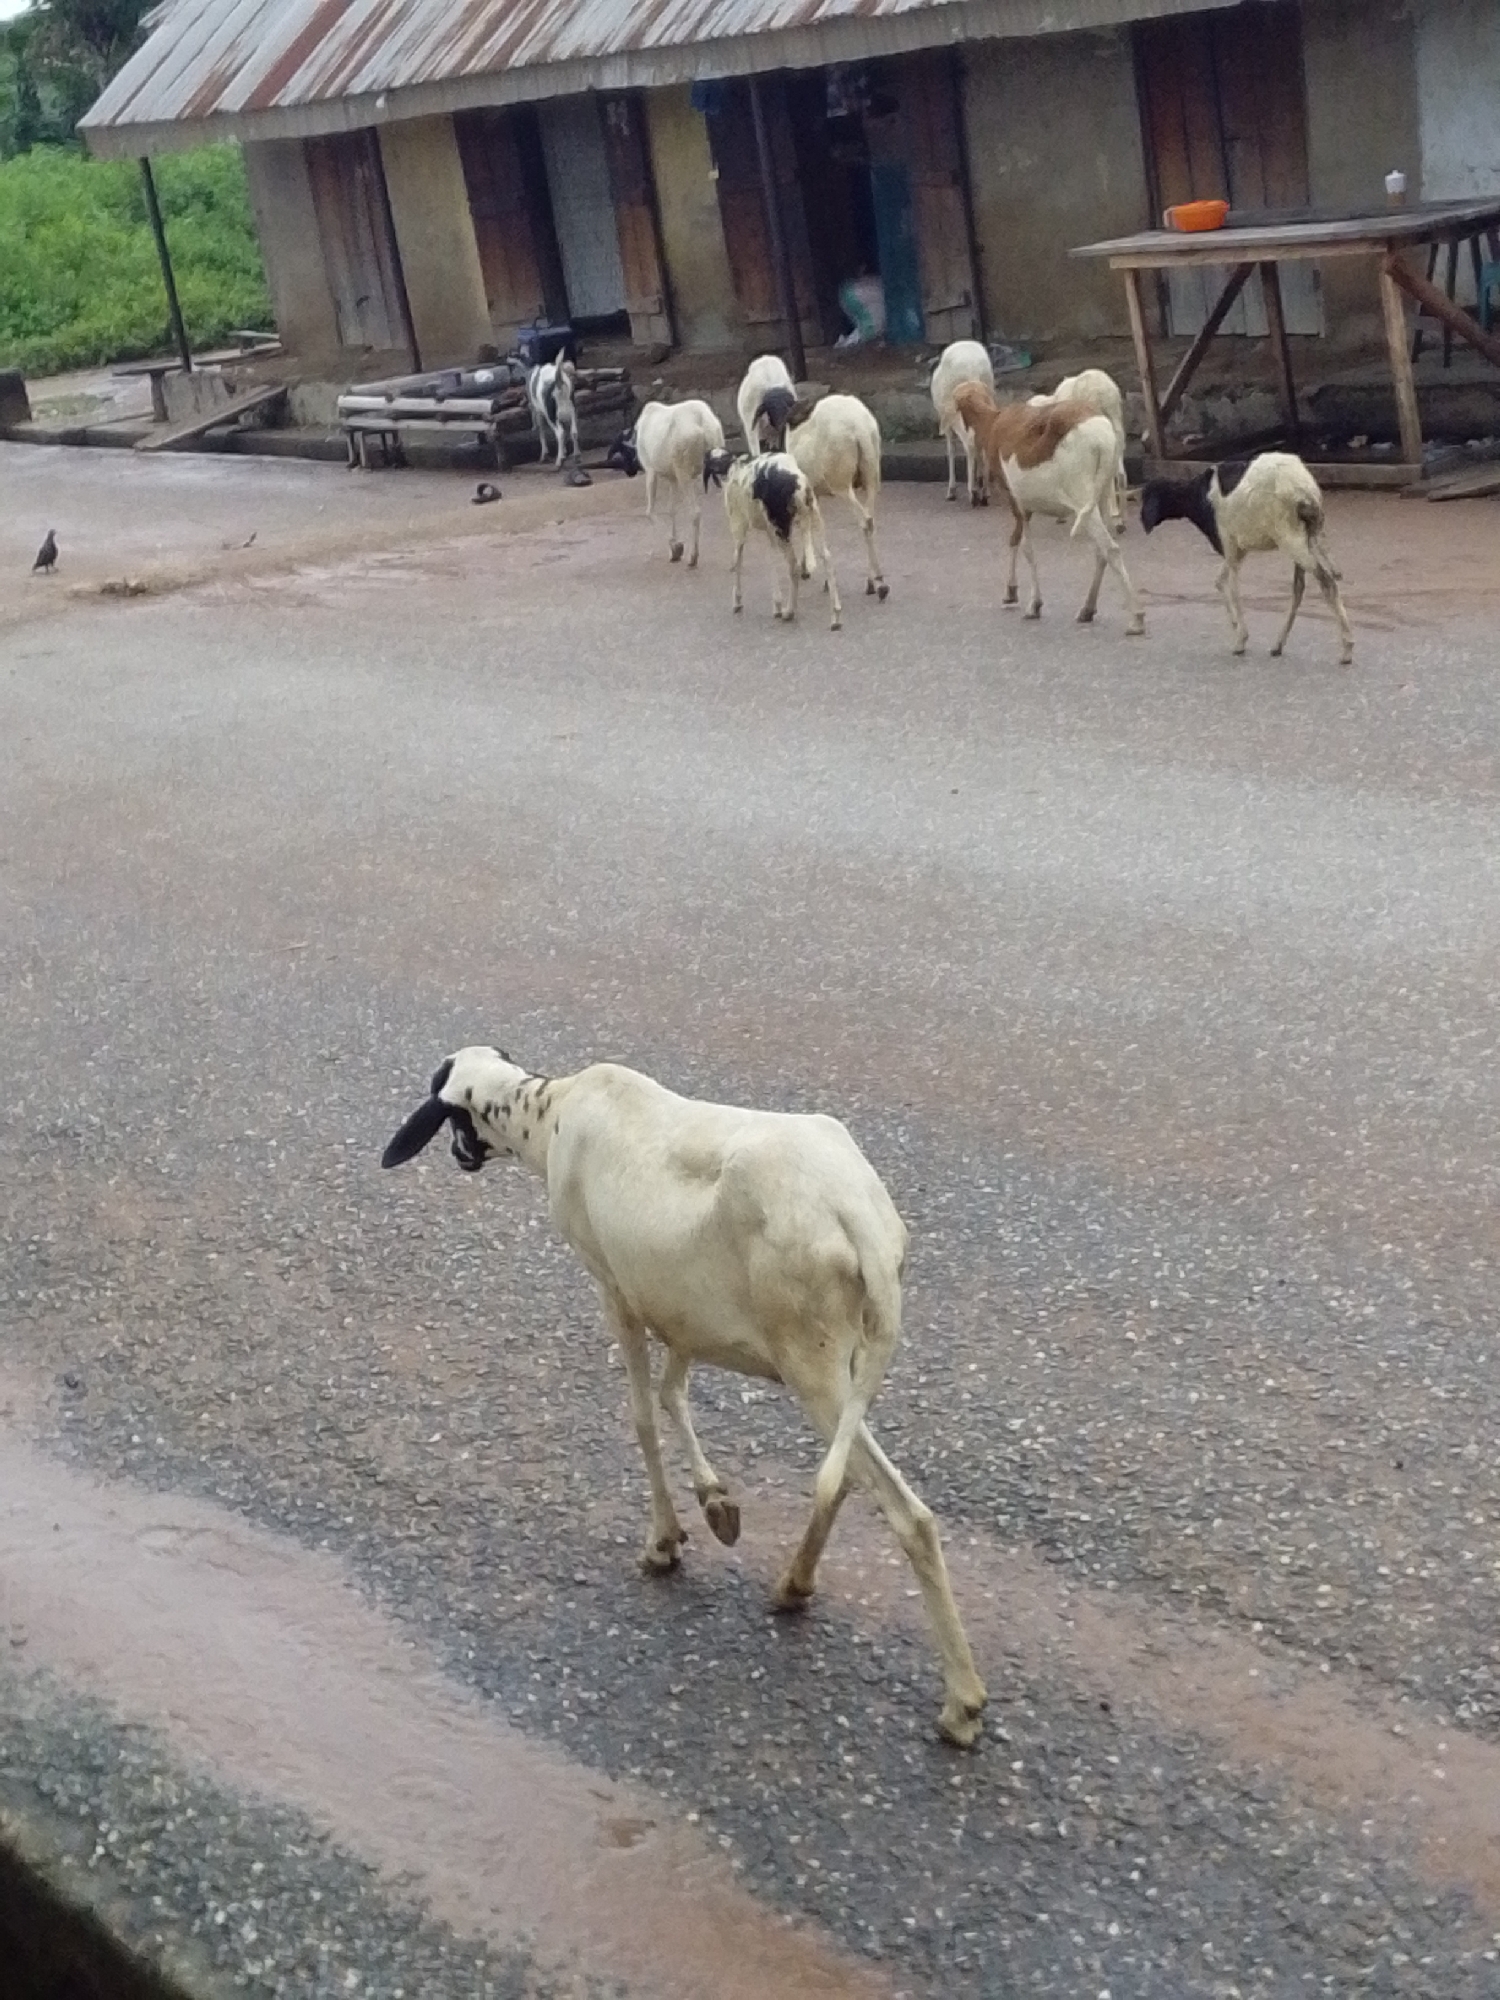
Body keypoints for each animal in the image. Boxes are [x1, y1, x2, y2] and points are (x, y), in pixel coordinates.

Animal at [382, 1046, 989, 1748]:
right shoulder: (680, 1309)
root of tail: (863, 1223)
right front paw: (716, 1503)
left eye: (449, 1112)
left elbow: (644, 1414)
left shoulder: (616, 1289)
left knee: (901, 1511)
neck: (548, 1111)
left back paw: (962, 1705)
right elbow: (675, 1393)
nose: (463, 1158)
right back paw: (794, 1585)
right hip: (840, 1358)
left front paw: (664, 1542)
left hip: (809, 1356)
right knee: (842, 1479)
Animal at [605, 400, 727, 567]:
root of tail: (703, 422)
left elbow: (649, 511)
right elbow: (671, 510)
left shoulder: (651, 471)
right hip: (716, 468)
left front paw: (676, 547)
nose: (630, 472)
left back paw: (693, 557)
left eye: (623, 451)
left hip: (684, 474)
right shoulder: (672, 478)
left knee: (695, 511)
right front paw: (673, 552)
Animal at [704, 447, 843, 630]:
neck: (730, 465)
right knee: (827, 558)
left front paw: (737, 600)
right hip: (812, 519)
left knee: (794, 567)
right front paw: (776, 604)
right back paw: (835, 615)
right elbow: (770, 560)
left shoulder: (739, 526)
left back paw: (789, 612)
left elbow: (738, 561)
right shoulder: (769, 531)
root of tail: (798, 484)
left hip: (781, 529)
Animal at [754, 389, 889, 602]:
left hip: (841, 482)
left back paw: (881, 584)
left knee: (865, 520)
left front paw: (808, 570)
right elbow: (810, 524)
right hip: (871, 476)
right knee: (871, 519)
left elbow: (807, 525)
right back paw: (872, 582)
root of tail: (859, 427)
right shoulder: (814, 493)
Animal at [1139, 453, 1353, 666]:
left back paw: (1347, 650)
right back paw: (1278, 645)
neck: (1196, 495)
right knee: (1299, 589)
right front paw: (1237, 628)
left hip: (1290, 538)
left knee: (1326, 581)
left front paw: (1241, 640)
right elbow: (1219, 581)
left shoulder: (1228, 542)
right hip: (1302, 537)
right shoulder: (1239, 549)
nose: (1143, 522)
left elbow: (1233, 588)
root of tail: (1305, 491)